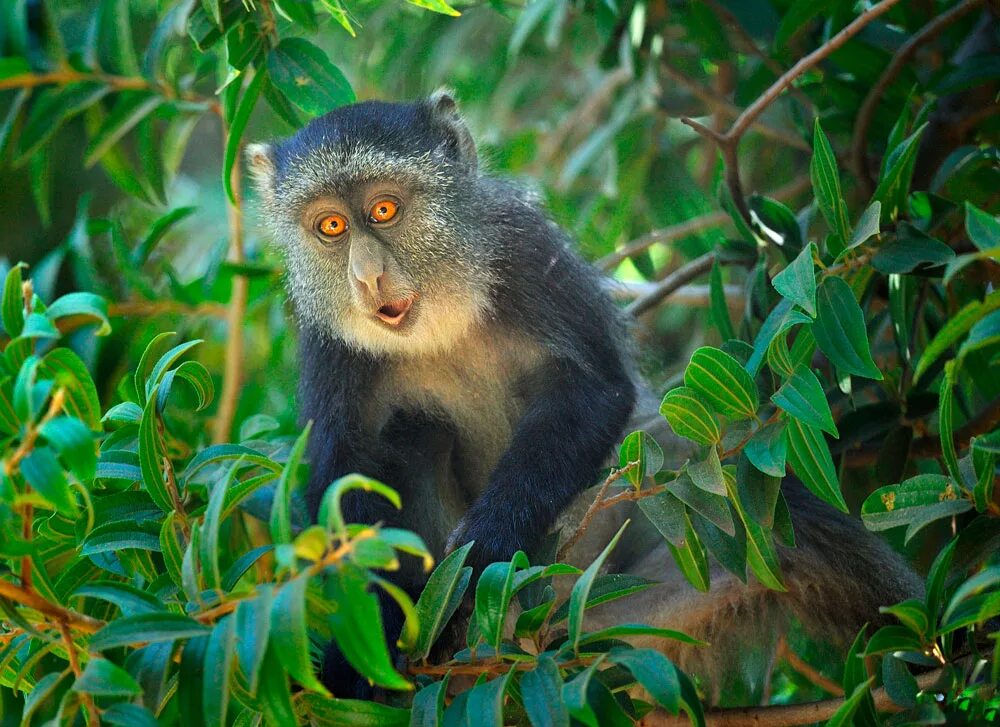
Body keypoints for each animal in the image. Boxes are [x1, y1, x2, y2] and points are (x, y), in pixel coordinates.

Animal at [248, 91, 920, 700]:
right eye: (331, 227)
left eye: (384, 210)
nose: (366, 276)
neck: (440, 319)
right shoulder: (330, 346)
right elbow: (347, 470)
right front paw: (356, 657)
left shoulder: (527, 253)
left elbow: (595, 391)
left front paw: (482, 551)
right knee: (414, 430)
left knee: (767, 516)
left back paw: (927, 650)